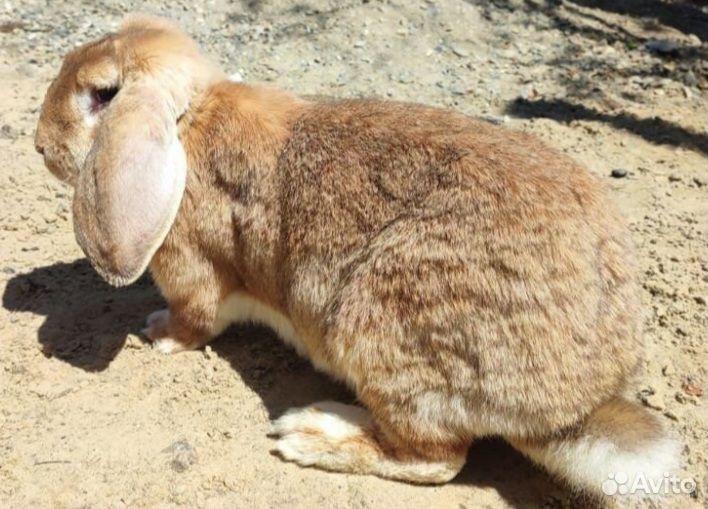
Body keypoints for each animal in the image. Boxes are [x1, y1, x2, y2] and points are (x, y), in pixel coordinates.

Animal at [35, 14, 678, 500]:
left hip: (380, 323)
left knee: (436, 458)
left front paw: (159, 334)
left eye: (101, 95)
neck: (189, 120)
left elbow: (196, 315)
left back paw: (313, 432)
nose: (40, 145)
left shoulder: (191, 268)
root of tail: (573, 406)